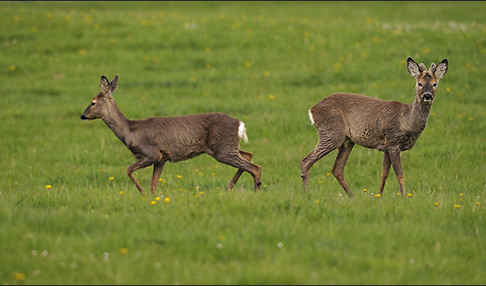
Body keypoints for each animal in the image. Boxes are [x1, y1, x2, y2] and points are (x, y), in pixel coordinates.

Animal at [81, 75, 262, 196]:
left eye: (93, 102)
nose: (82, 115)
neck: (130, 131)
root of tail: (239, 123)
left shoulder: (152, 153)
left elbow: (128, 170)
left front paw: (142, 193)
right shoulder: (162, 158)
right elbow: (153, 184)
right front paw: (152, 196)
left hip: (223, 149)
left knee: (255, 167)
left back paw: (255, 190)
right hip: (228, 146)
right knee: (249, 155)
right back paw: (230, 187)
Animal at [302, 57, 450, 198]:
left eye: (435, 84)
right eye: (419, 83)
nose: (427, 96)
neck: (407, 121)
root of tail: (312, 109)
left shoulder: (386, 147)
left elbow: (384, 174)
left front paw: (379, 195)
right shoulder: (393, 142)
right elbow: (400, 174)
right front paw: (404, 197)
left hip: (347, 141)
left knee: (337, 169)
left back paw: (352, 196)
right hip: (331, 133)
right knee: (306, 160)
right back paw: (307, 194)